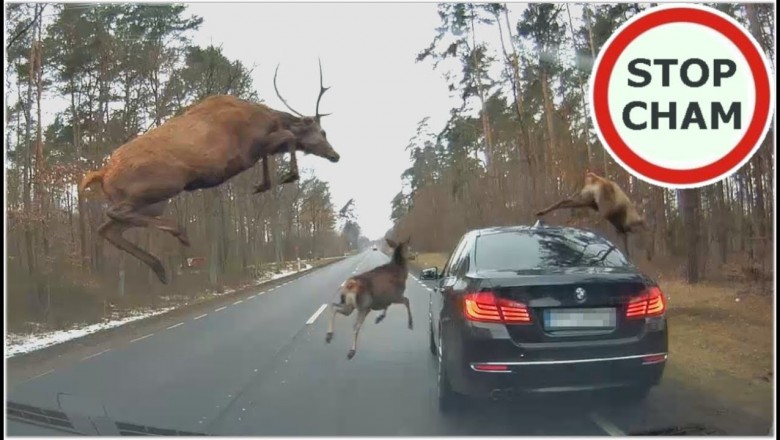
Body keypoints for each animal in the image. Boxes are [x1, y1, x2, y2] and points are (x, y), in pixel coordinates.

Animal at [80, 60, 340, 284]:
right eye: (322, 132)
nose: (335, 155)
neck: (268, 120)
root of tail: (102, 173)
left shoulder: (256, 151)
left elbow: (277, 148)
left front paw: (263, 184)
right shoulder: (249, 149)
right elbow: (288, 137)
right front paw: (287, 176)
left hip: (154, 203)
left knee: (107, 228)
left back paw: (160, 269)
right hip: (162, 185)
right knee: (115, 214)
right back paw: (179, 233)